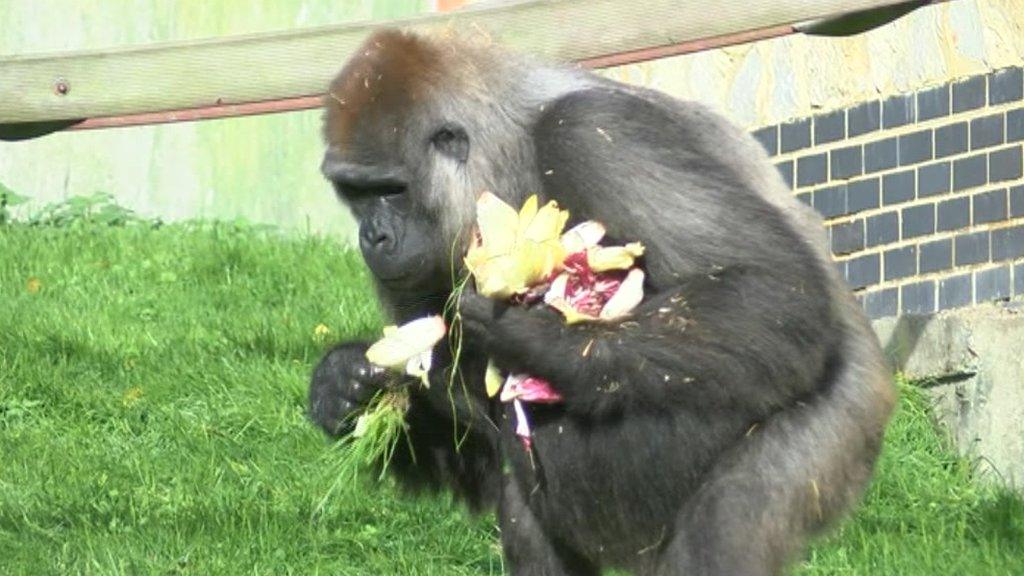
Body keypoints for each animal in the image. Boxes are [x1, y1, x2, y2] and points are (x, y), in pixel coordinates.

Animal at [309, 28, 897, 573]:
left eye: (392, 189)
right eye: (355, 193)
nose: (372, 238)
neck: (505, 152)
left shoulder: (593, 132)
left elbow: (774, 286)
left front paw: (538, 338)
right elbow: (474, 447)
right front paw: (343, 385)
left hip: (836, 435)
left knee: (727, 514)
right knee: (521, 488)